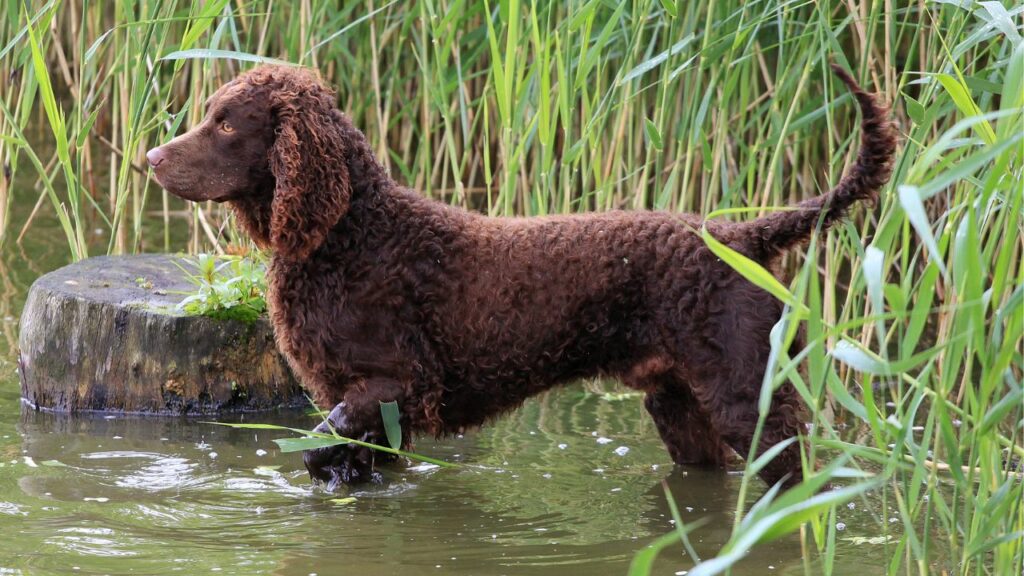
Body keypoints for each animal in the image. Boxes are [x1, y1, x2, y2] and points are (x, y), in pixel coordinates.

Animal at [146, 63, 897, 487]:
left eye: (225, 124)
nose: (150, 157)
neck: (350, 234)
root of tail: (741, 235)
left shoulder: (397, 384)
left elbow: (317, 445)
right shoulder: (372, 406)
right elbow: (346, 458)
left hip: (749, 399)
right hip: (681, 408)